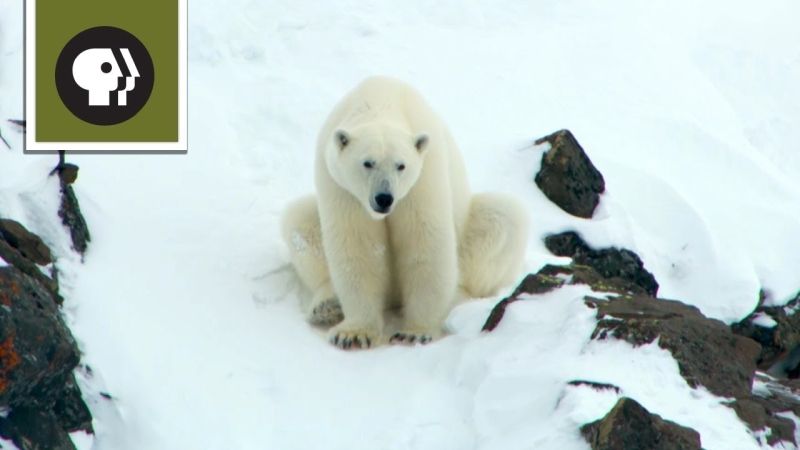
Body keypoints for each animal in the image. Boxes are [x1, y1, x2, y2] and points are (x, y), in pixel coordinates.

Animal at [282, 76, 532, 352]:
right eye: (367, 163)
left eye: (401, 165)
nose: (384, 198)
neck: (380, 99)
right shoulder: (340, 186)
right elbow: (357, 246)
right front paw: (353, 334)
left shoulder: (423, 177)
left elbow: (424, 242)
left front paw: (414, 332)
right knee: (297, 220)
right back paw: (326, 306)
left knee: (505, 218)